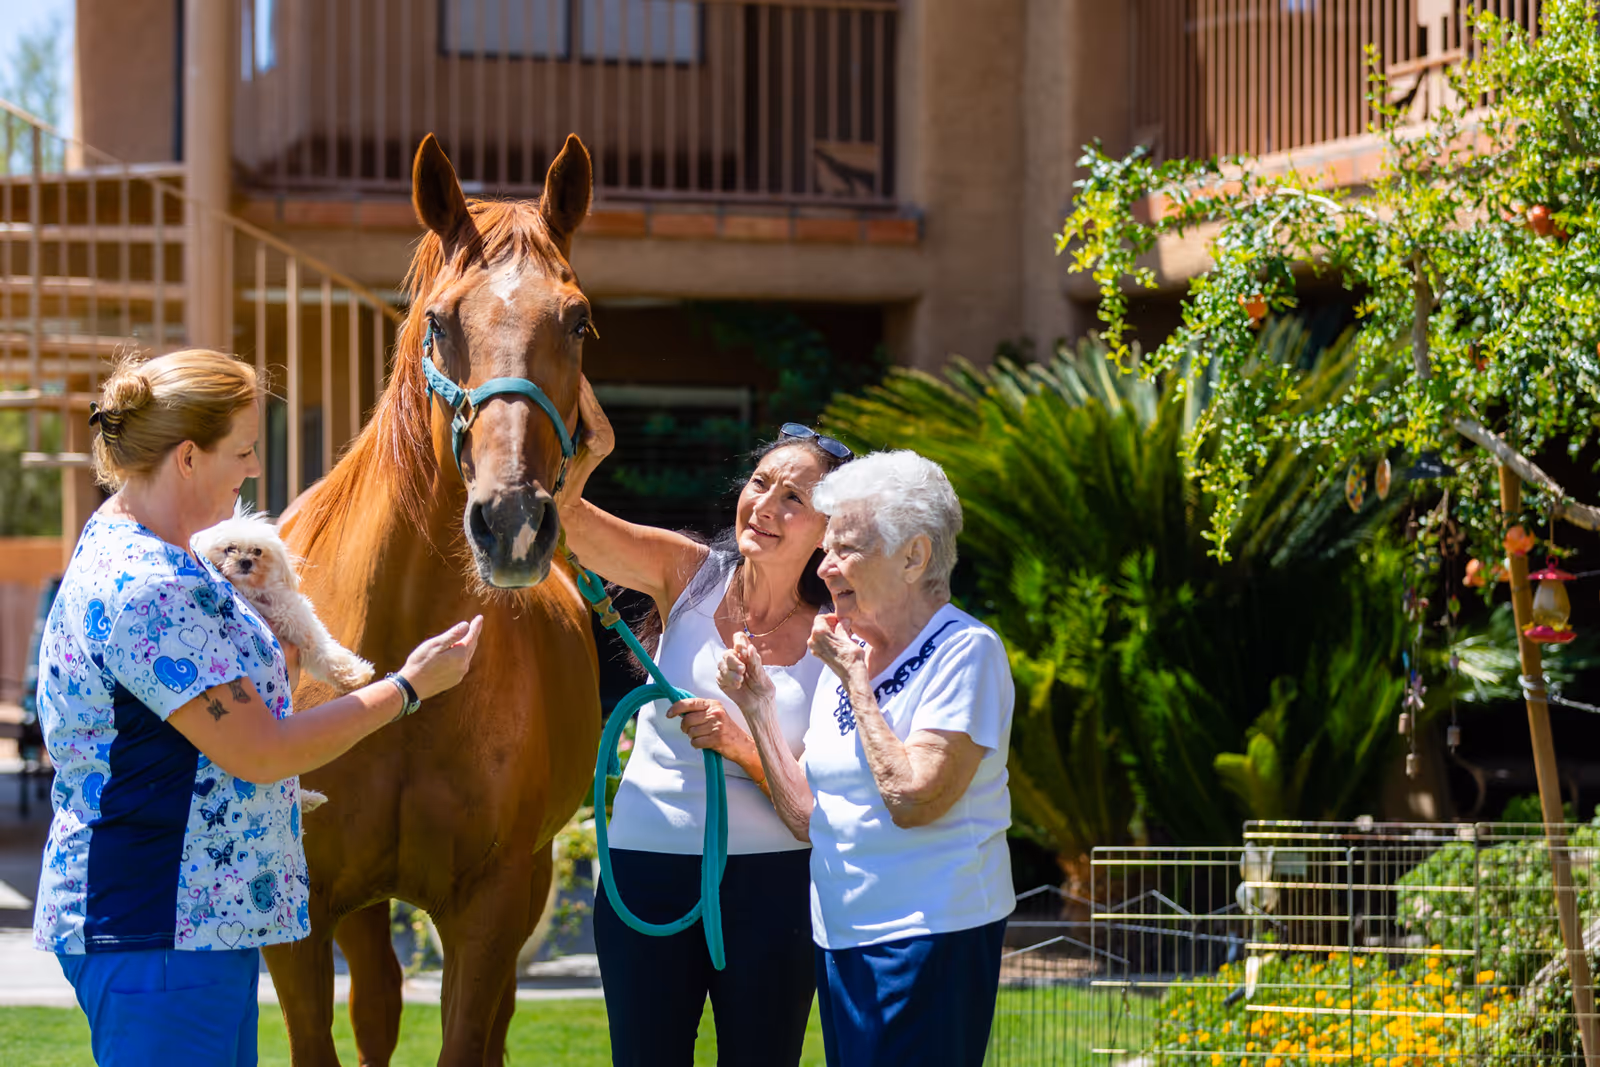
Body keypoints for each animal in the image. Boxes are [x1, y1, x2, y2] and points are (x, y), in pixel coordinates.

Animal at [264, 133, 604, 1066]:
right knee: (379, 1002)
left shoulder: (493, 902)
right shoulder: (303, 919)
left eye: (579, 320)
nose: (513, 520)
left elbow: (466, 1034)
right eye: (441, 322)